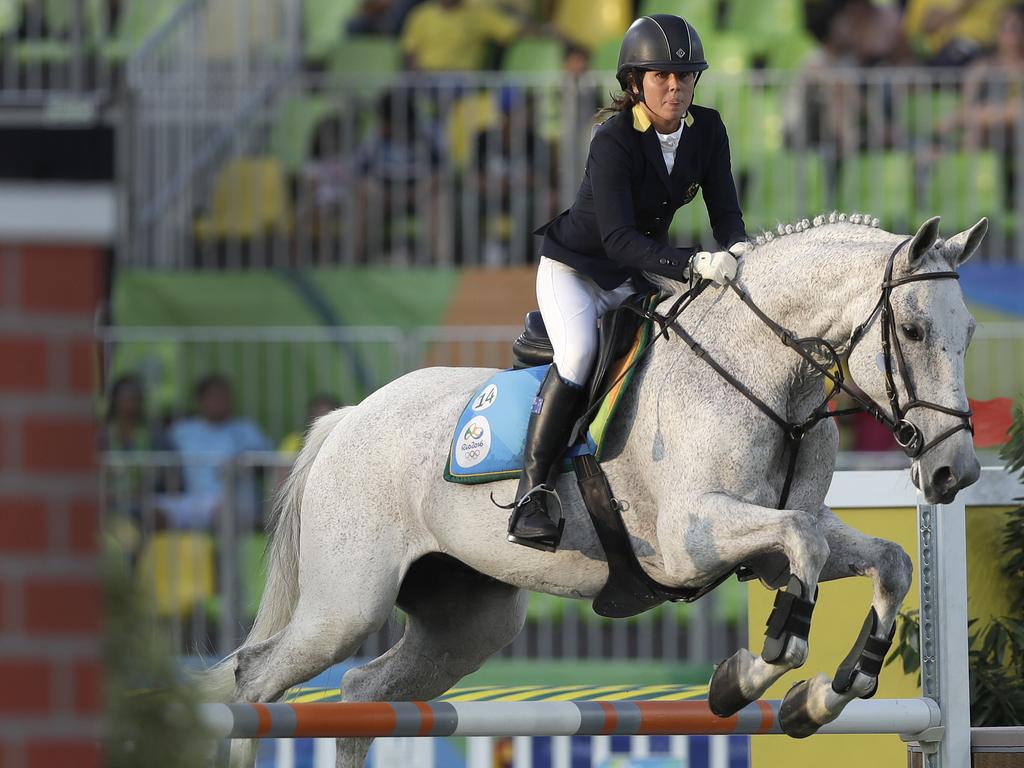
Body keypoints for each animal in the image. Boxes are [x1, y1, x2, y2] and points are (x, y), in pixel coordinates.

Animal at [205, 214, 983, 765]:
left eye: (970, 332)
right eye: (913, 329)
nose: (956, 473)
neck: (767, 378)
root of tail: (347, 419)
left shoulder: (776, 537)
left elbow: (886, 560)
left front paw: (830, 691)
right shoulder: (692, 541)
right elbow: (805, 550)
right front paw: (749, 675)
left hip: (467, 623)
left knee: (363, 694)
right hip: (344, 605)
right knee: (255, 683)